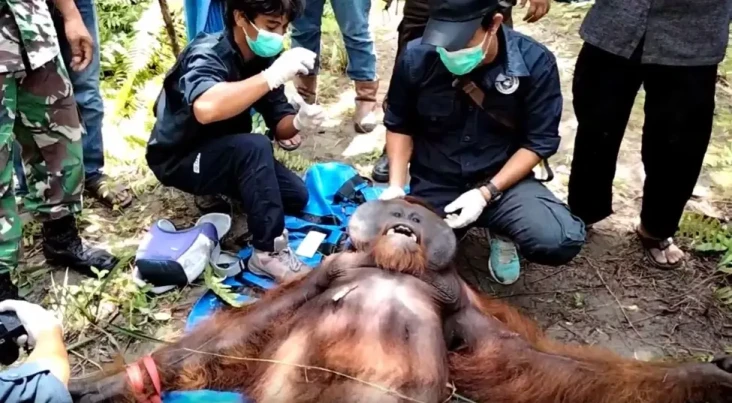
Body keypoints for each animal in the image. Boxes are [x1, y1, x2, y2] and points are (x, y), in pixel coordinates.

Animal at [69, 197, 732, 403]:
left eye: (420, 214)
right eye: (402, 210)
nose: (409, 220)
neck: (393, 268)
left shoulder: (464, 305)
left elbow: (524, 360)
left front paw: (705, 376)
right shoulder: (330, 270)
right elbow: (247, 331)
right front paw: (102, 385)